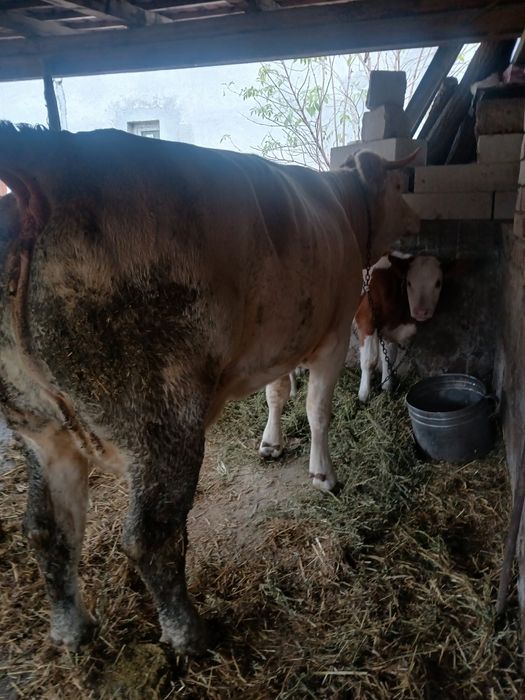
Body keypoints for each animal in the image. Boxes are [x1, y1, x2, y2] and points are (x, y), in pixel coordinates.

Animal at [0, 122, 419, 655]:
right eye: (398, 184)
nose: (421, 224)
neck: (342, 209)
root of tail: (46, 179)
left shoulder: (279, 338)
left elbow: (277, 393)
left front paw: (271, 444)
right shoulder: (331, 331)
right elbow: (318, 409)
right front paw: (324, 474)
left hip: (39, 427)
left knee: (46, 527)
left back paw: (71, 629)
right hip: (162, 418)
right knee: (150, 535)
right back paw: (189, 634)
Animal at [354, 254, 443, 403]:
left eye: (438, 283)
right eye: (409, 283)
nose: (421, 311)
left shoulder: (388, 330)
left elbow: (388, 359)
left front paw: (387, 389)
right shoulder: (366, 321)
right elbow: (369, 361)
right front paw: (363, 396)